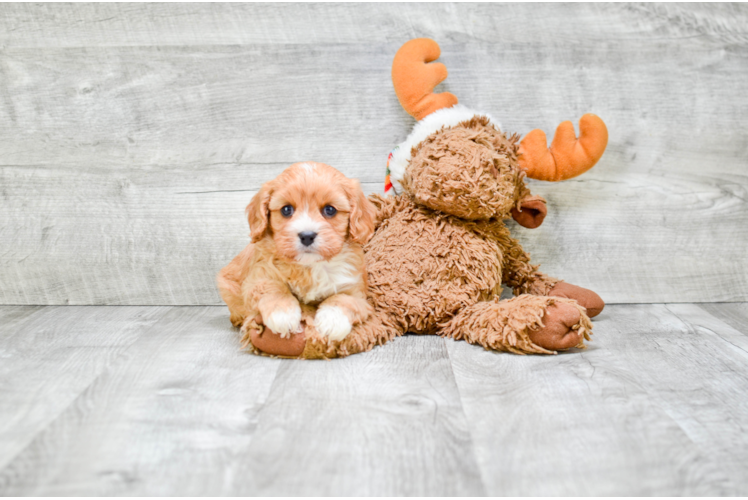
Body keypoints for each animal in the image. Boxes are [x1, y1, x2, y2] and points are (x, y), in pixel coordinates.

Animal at [219, 162, 376, 346]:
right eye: (286, 210)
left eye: (330, 210)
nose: (307, 236)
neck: (310, 265)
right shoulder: (258, 277)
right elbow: (272, 288)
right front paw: (283, 315)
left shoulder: (355, 289)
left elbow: (344, 299)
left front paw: (332, 322)